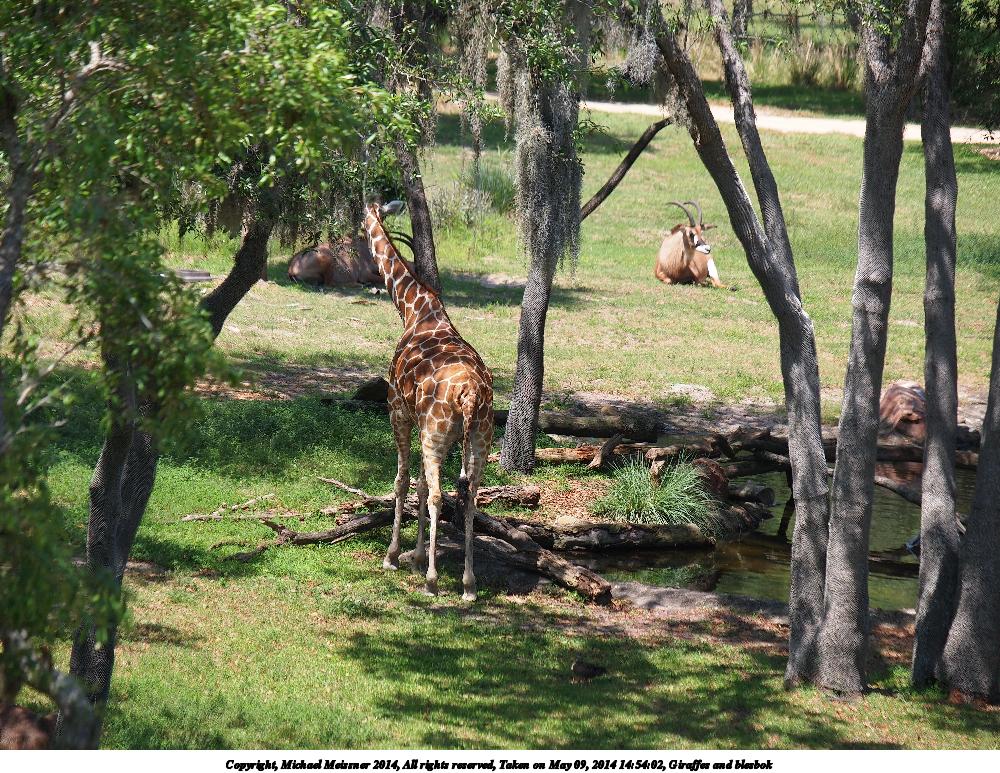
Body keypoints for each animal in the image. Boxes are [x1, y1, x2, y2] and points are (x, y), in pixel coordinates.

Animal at [363, 201, 494, 601]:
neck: (414, 311)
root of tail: (470, 395)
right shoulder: (428, 429)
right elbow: (420, 485)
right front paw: (418, 556)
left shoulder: (399, 413)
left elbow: (402, 482)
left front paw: (394, 556)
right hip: (478, 439)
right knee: (470, 499)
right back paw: (468, 584)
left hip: (434, 434)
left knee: (438, 496)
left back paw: (434, 582)